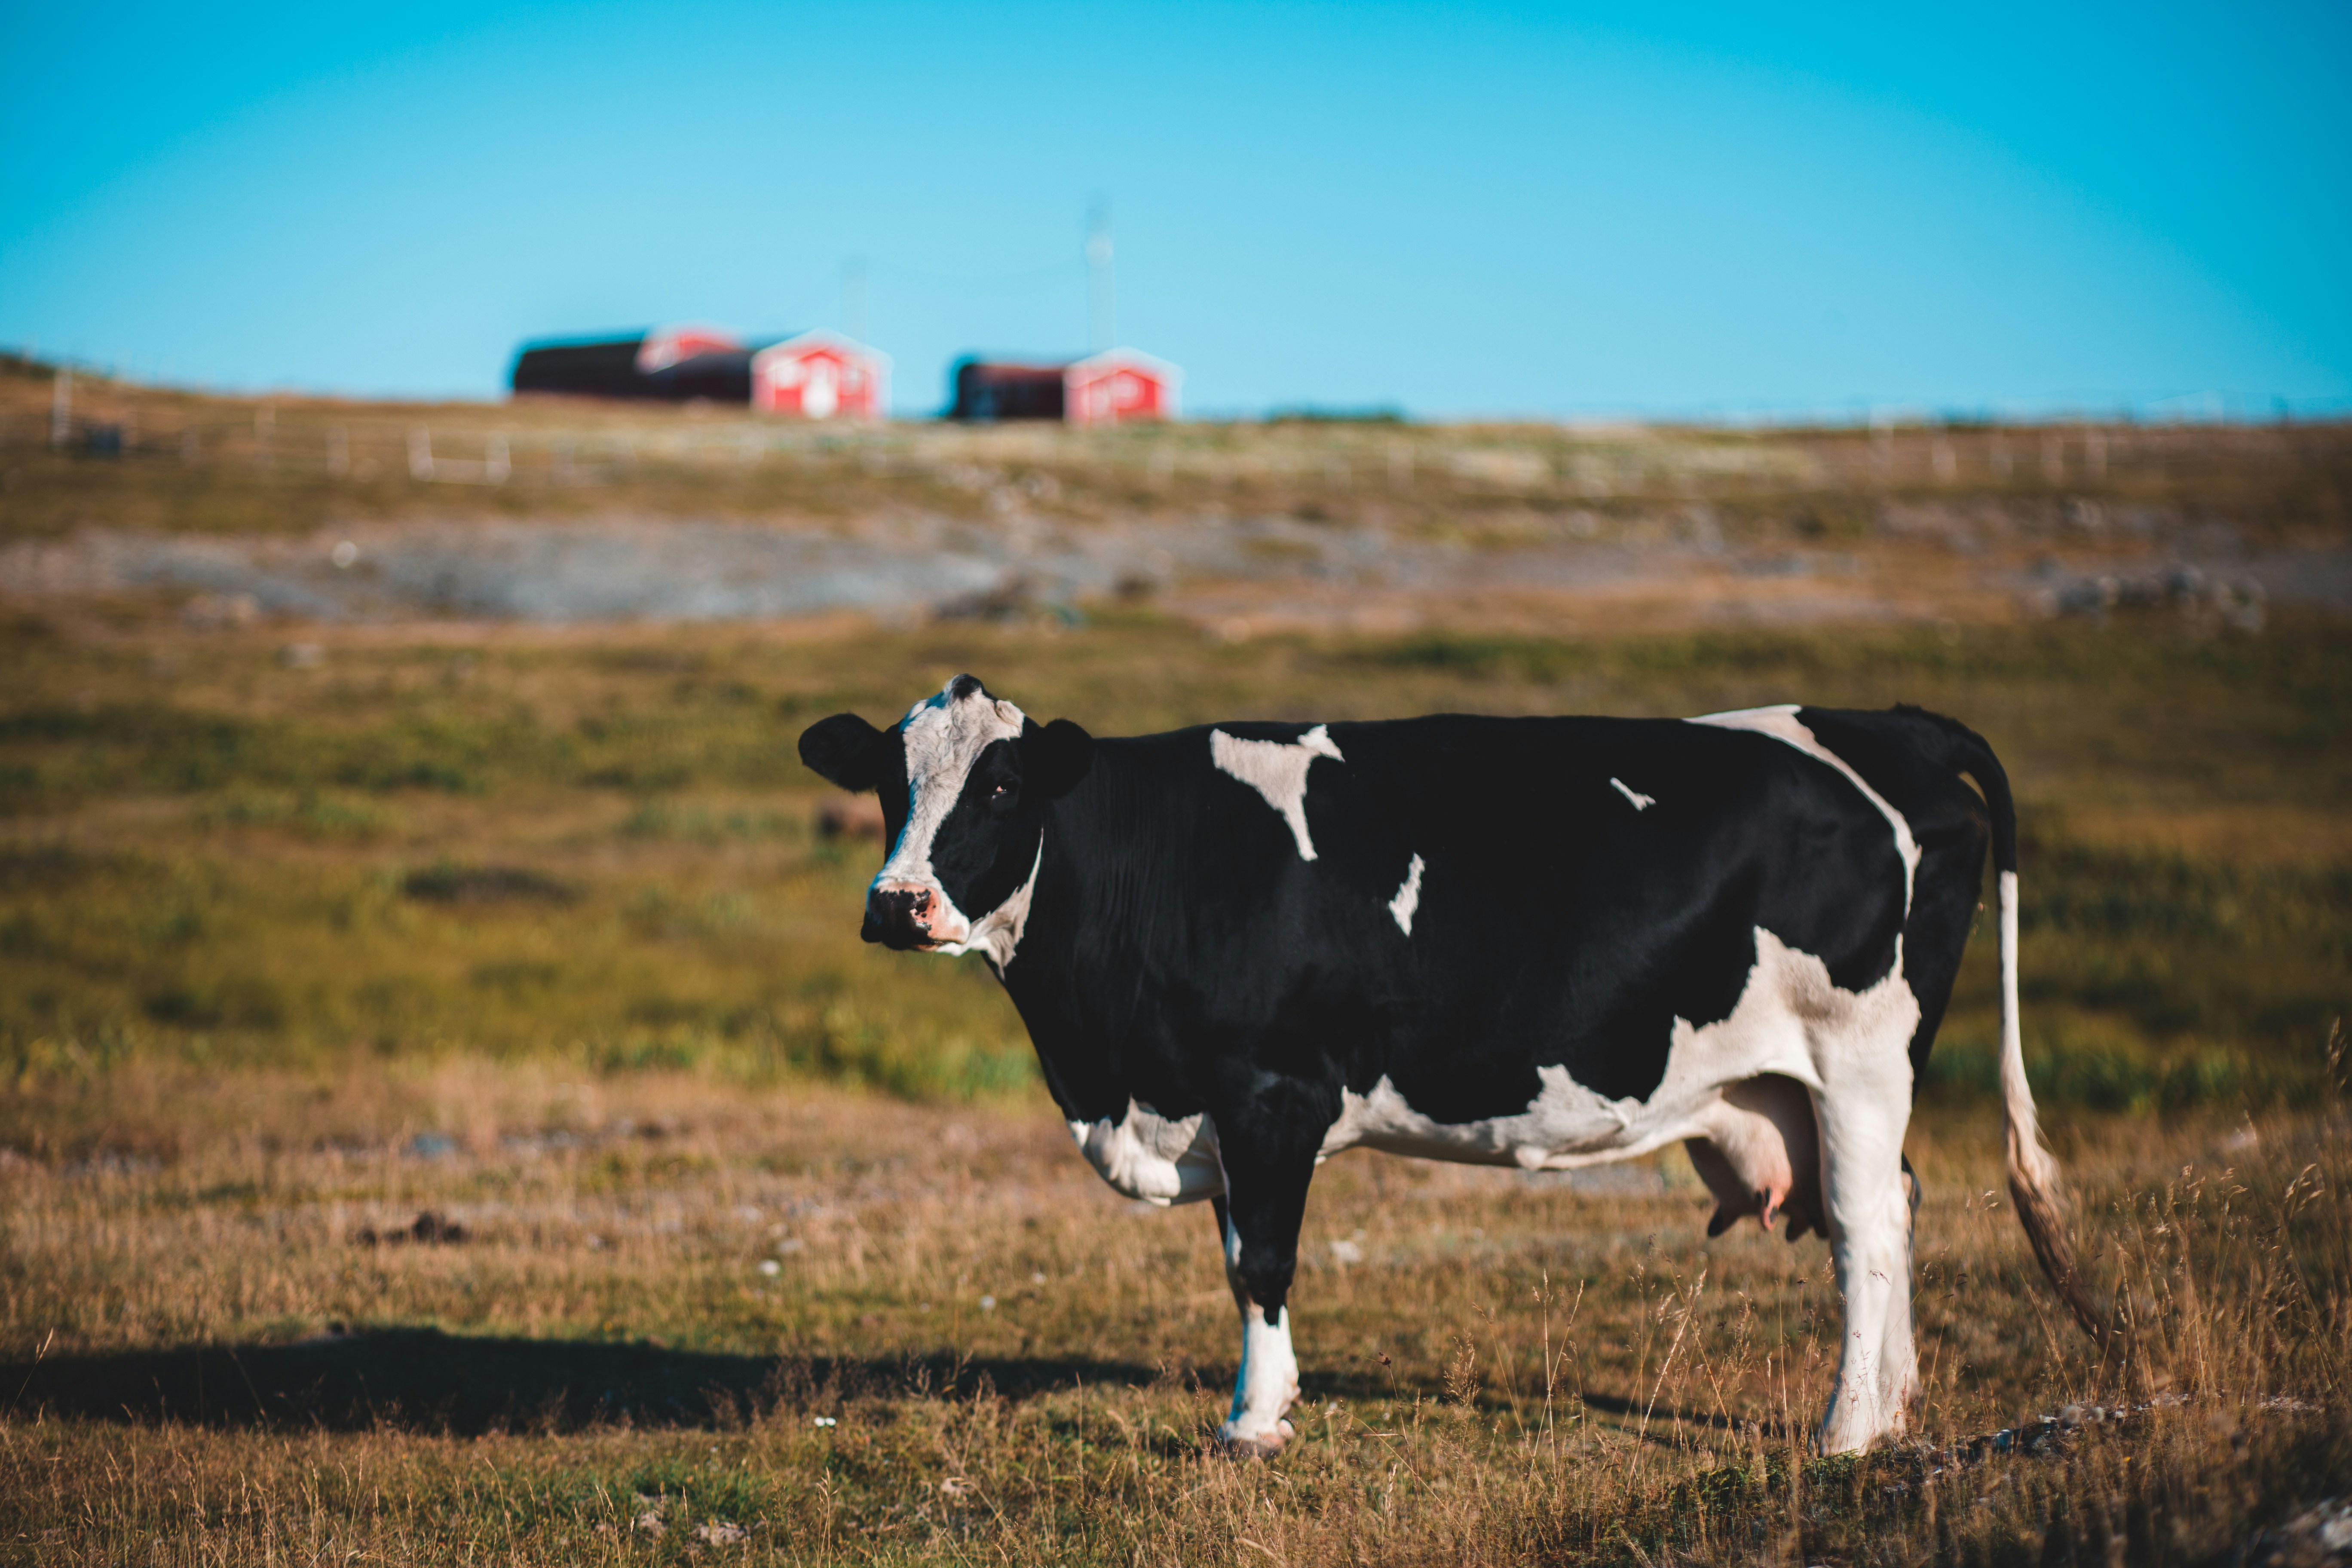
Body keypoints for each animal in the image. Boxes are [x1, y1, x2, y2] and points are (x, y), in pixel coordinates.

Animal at [797, 675, 2105, 1455]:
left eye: (1000, 783)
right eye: (888, 781)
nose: (896, 904)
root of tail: (1888, 720)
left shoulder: (1271, 1091)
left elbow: (1260, 1260)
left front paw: (1252, 1424)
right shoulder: (1214, 1103)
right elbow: (1240, 1253)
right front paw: (1268, 1405)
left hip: (1860, 1053)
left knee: (1867, 1226)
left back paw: (1844, 1429)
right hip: (1822, 1082)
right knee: (1890, 1208)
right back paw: (1894, 1406)